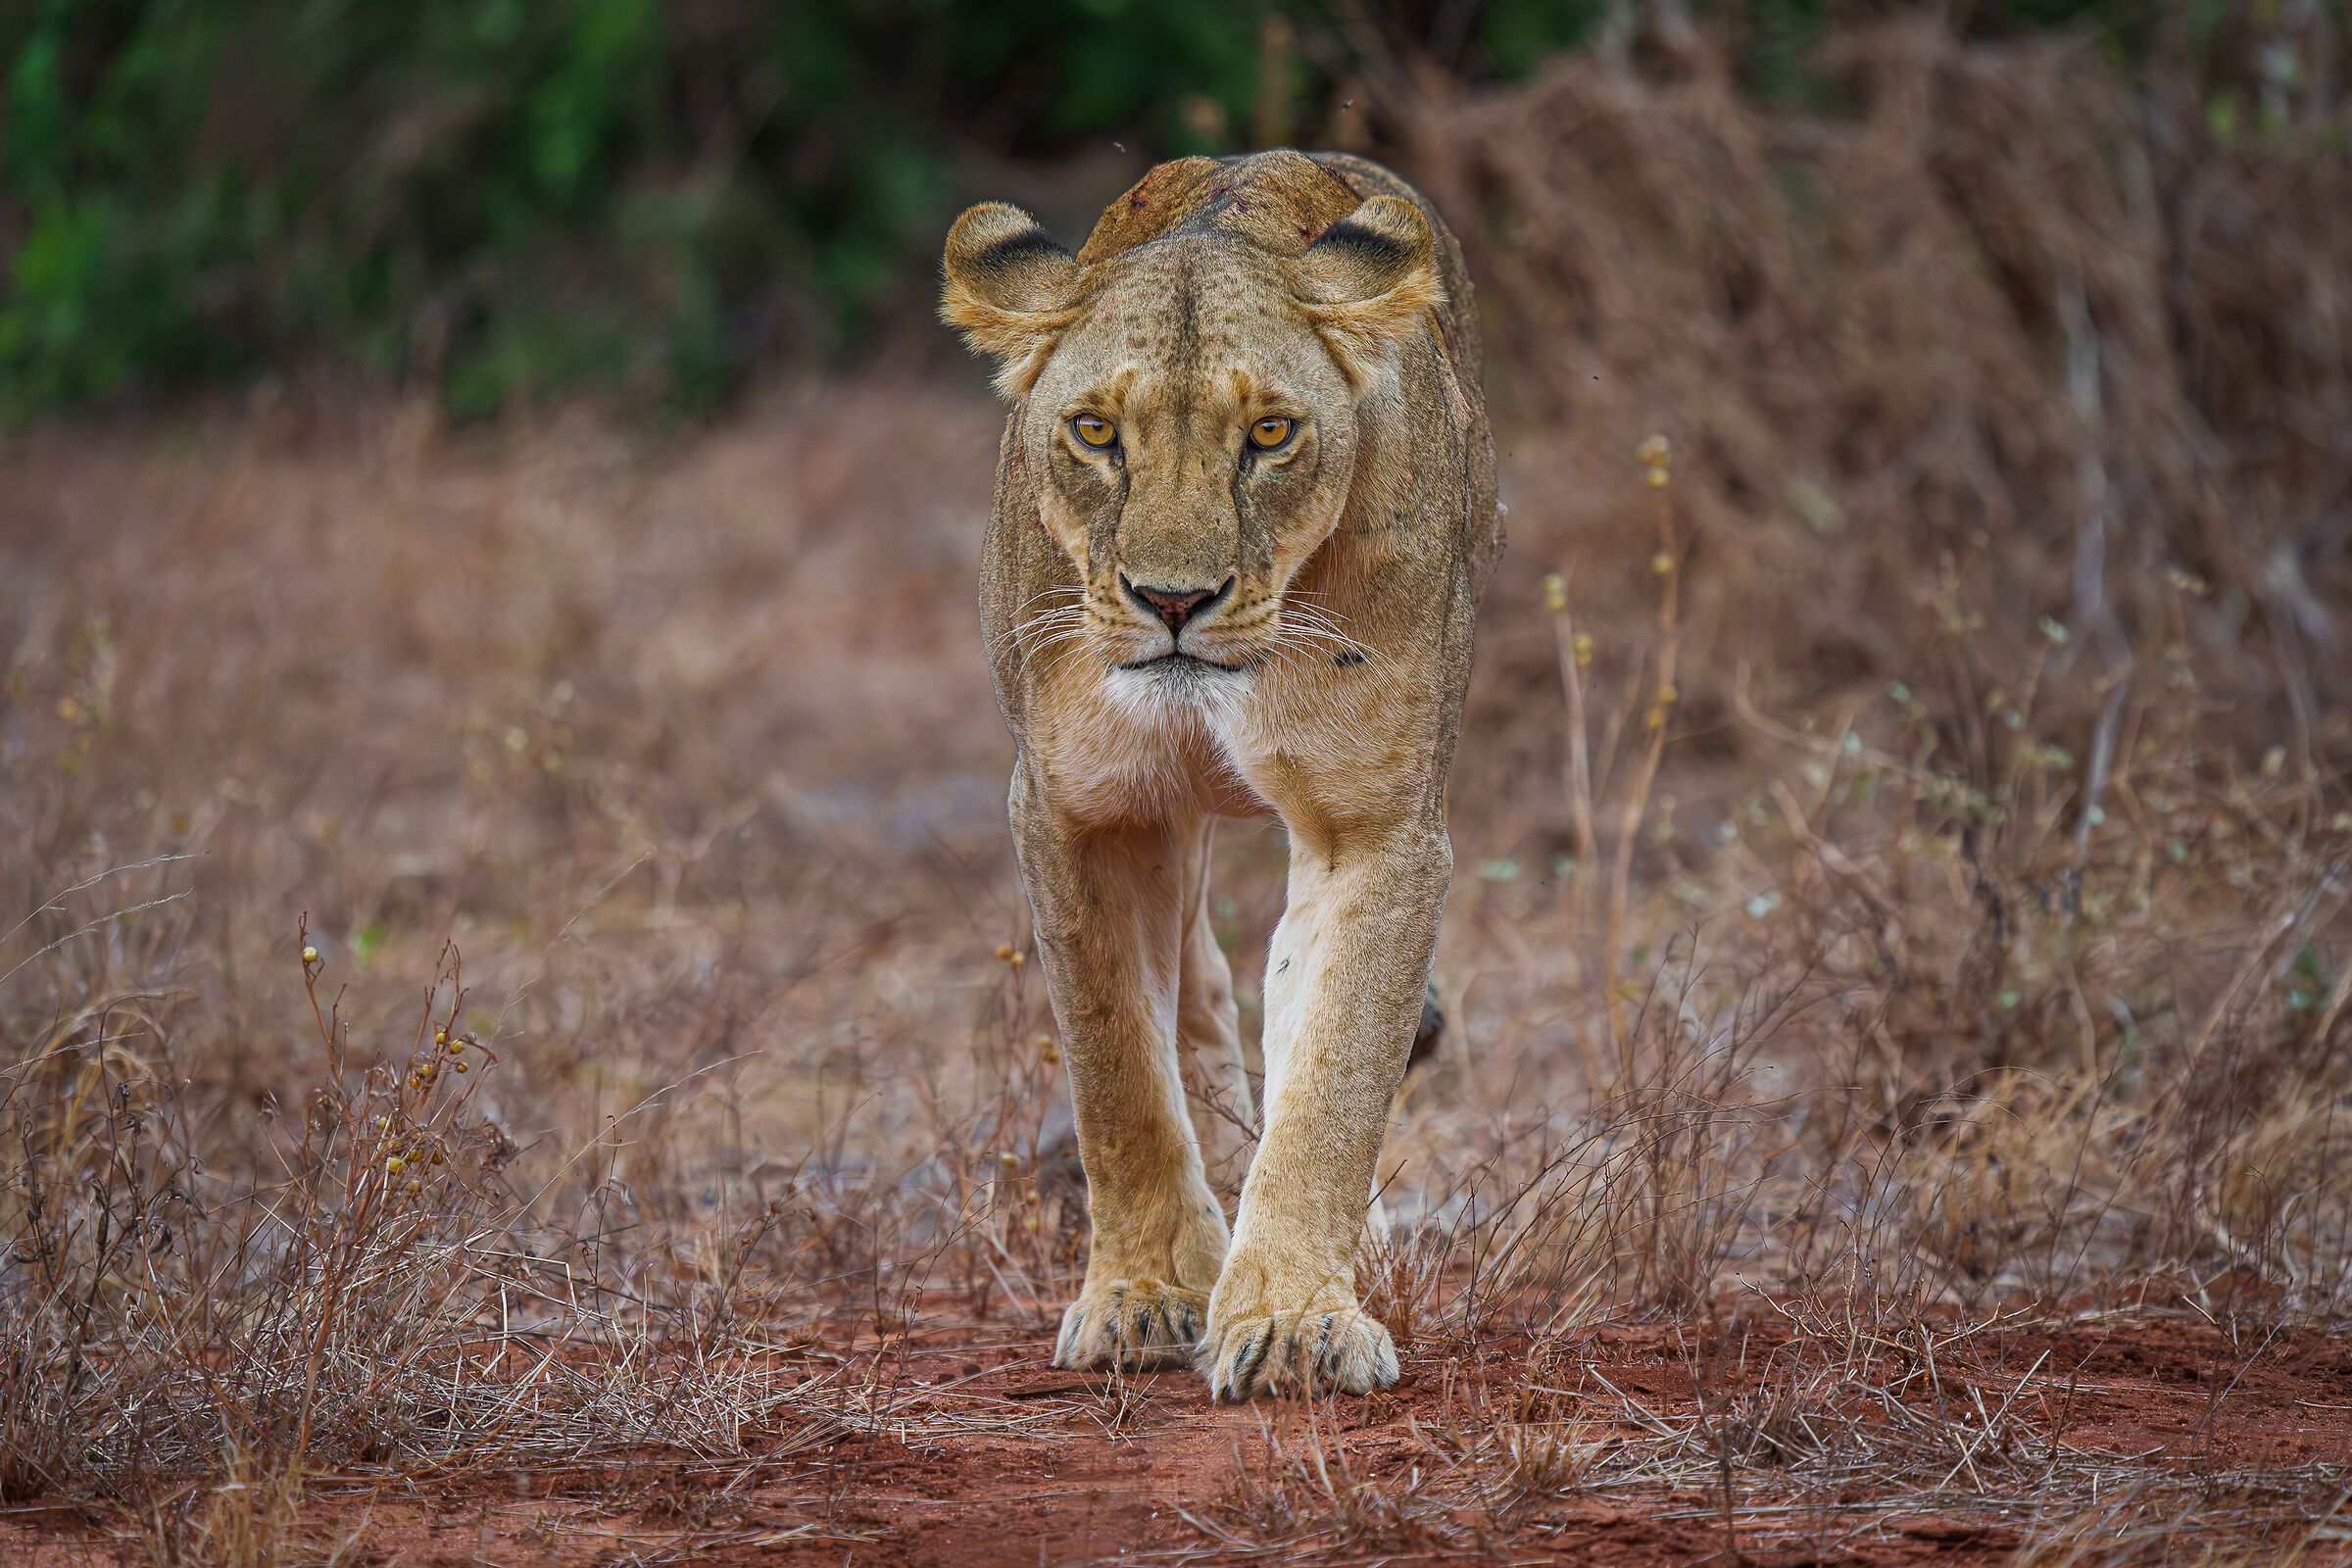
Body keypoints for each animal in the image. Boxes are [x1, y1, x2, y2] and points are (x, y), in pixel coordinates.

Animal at [940, 150, 1499, 1399]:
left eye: (1272, 433)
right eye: (1096, 430)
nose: (1174, 600)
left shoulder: (1380, 822)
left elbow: (1335, 1067)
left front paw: (1293, 1320)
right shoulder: (1078, 807)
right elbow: (1117, 1070)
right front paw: (1144, 1295)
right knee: (1194, 987)